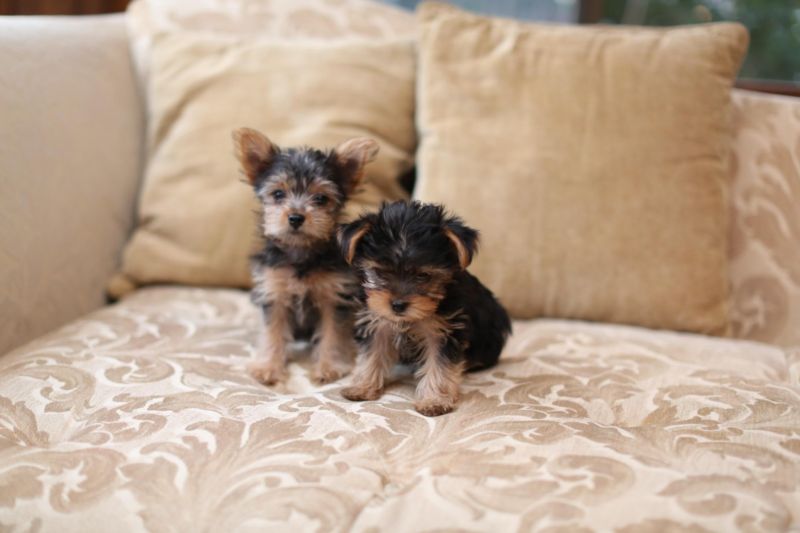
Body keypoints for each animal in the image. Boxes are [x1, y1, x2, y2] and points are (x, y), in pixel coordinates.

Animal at [233, 128, 380, 386]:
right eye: (278, 194)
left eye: (321, 199)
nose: (295, 217)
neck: (301, 252)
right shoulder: (275, 292)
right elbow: (273, 331)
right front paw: (268, 367)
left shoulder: (335, 295)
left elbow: (333, 333)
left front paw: (329, 367)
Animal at [338, 200, 512, 416]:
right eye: (380, 272)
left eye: (423, 276)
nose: (397, 305)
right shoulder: (376, 320)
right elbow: (371, 355)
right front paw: (361, 387)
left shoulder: (443, 331)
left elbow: (439, 365)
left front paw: (434, 400)